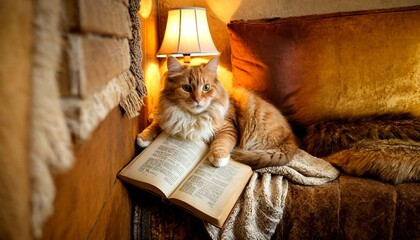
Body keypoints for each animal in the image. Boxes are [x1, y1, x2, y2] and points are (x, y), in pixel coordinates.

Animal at [136, 56, 296, 169]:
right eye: (186, 88)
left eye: (206, 87)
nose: (198, 100)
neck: (193, 117)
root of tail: (291, 139)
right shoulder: (168, 115)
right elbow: (155, 124)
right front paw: (143, 137)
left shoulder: (228, 128)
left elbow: (221, 142)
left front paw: (219, 158)